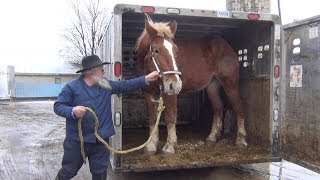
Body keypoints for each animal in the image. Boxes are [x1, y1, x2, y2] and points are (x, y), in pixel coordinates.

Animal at [135, 18, 248, 154]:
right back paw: (212, 137)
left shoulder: (170, 93)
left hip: (230, 83)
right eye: (156, 50)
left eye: (176, 50)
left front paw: (170, 146)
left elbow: (170, 116)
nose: (176, 84)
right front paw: (151, 146)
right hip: (212, 86)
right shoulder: (148, 93)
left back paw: (241, 140)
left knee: (238, 107)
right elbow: (152, 118)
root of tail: (227, 47)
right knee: (218, 107)